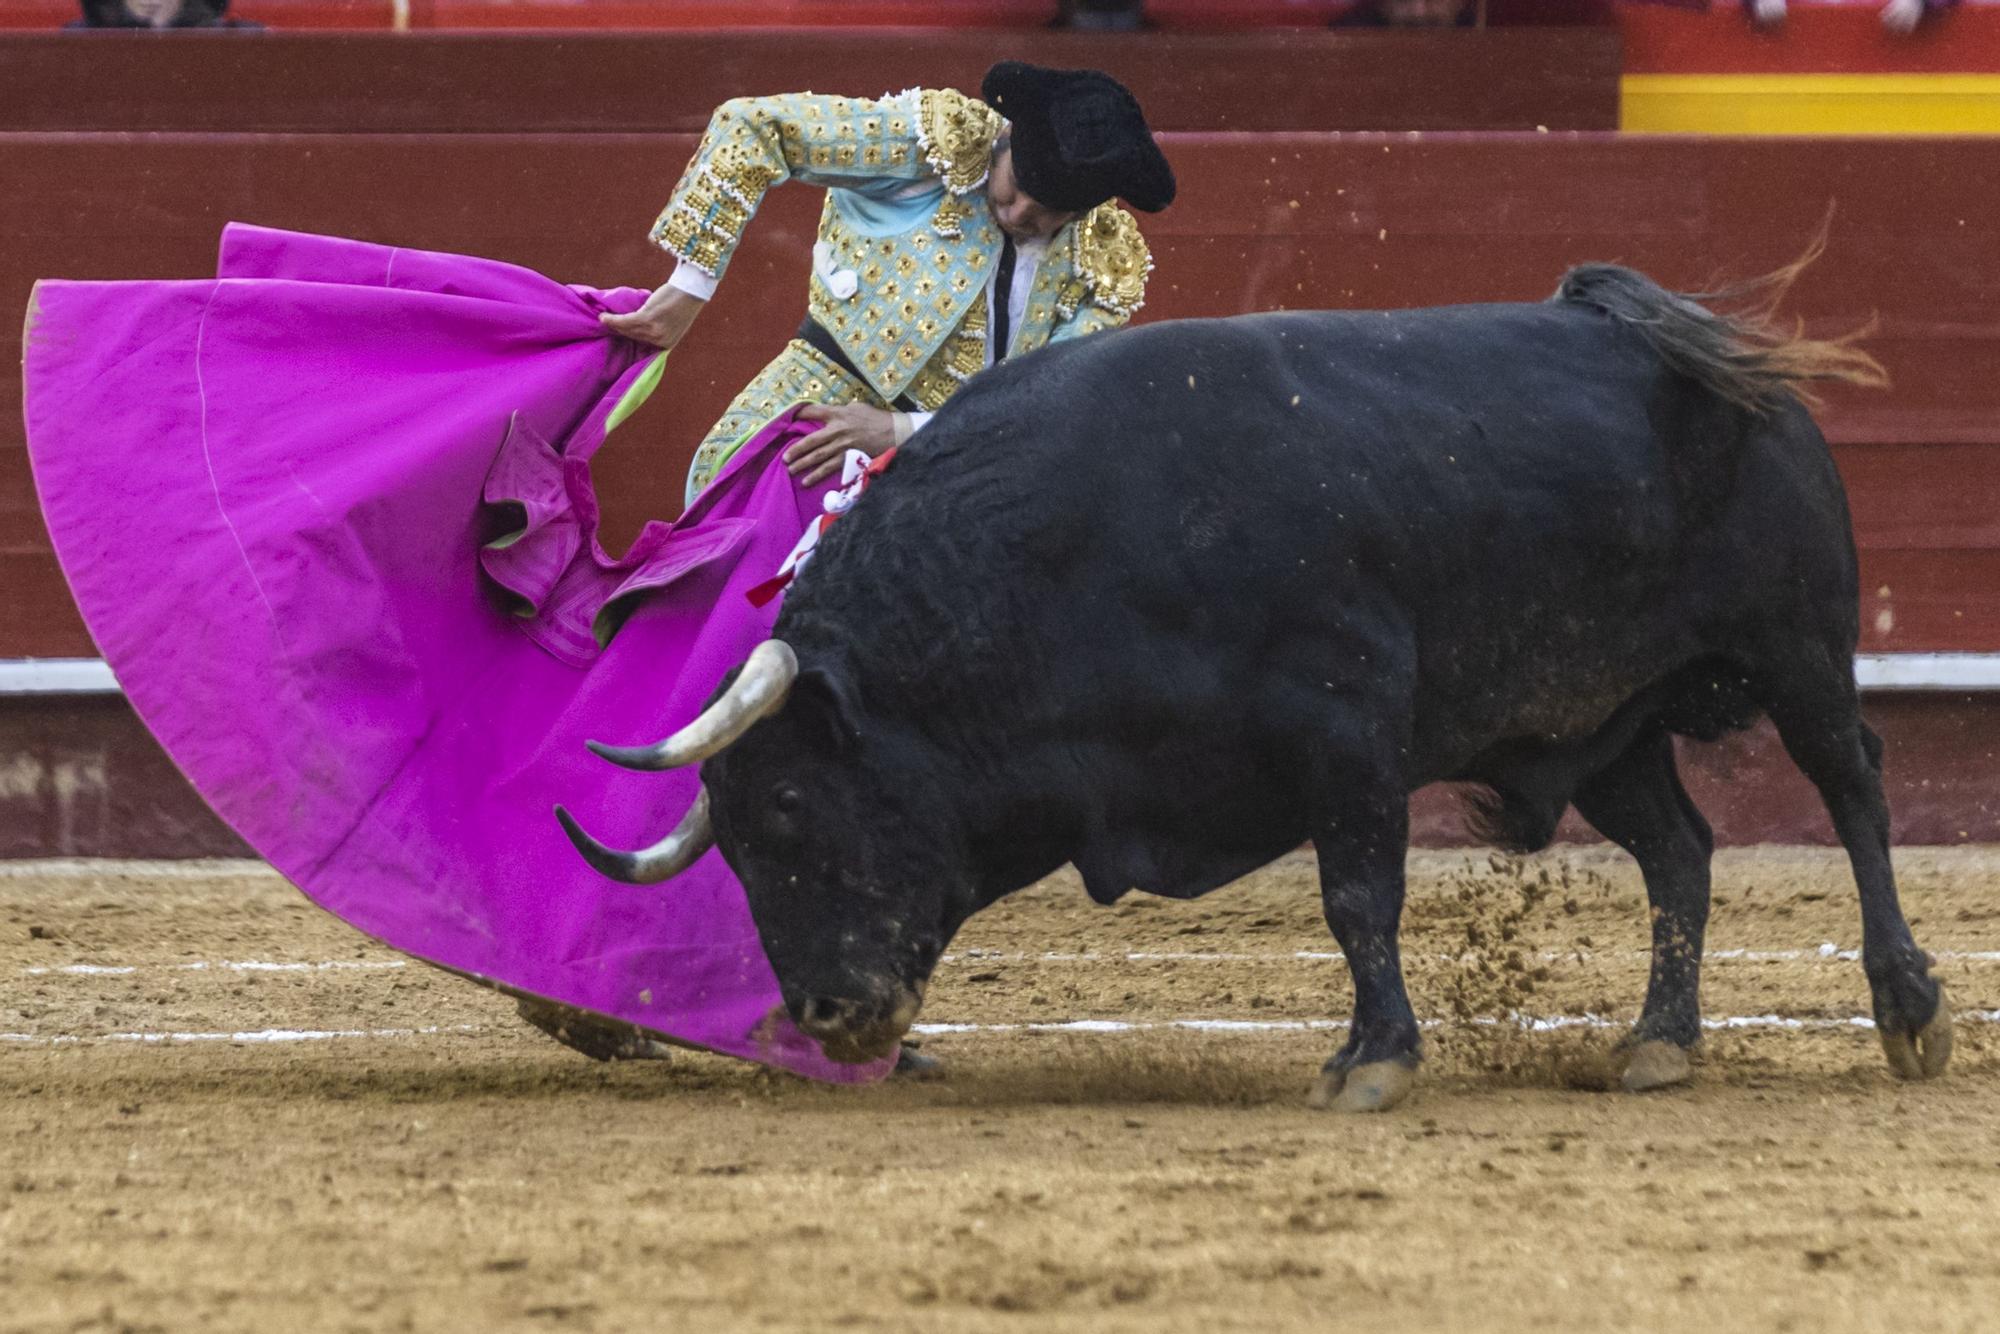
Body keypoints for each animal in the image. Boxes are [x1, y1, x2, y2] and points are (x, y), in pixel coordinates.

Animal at [564, 256, 1952, 1112]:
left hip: (1798, 646)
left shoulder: (1346, 724)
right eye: (733, 847)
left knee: (1851, 791)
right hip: (1600, 721)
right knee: (1678, 847)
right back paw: (1658, 1042)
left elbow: (1355, 898)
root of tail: (1702, 360)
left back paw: (1907, 1009)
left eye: (794, 806)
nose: (829, 1012)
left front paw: (1371, 1062)